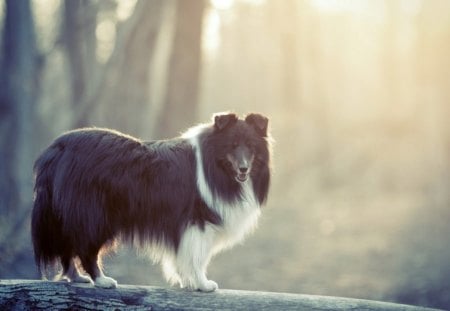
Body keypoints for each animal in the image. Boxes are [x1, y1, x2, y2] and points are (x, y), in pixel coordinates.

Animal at [32, 112, 270, 292]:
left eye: (251, 146)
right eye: (233, 145)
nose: (243, 169)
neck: (215, 165)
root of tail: (57, 148)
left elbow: (184, 257)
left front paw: (187, 281)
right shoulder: (198, 222)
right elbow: (197, 257)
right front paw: (202, 284)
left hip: (65, 216)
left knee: (67, 247)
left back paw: (76, 277)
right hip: (95, 215)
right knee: (85, 248)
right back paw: (101, 280)